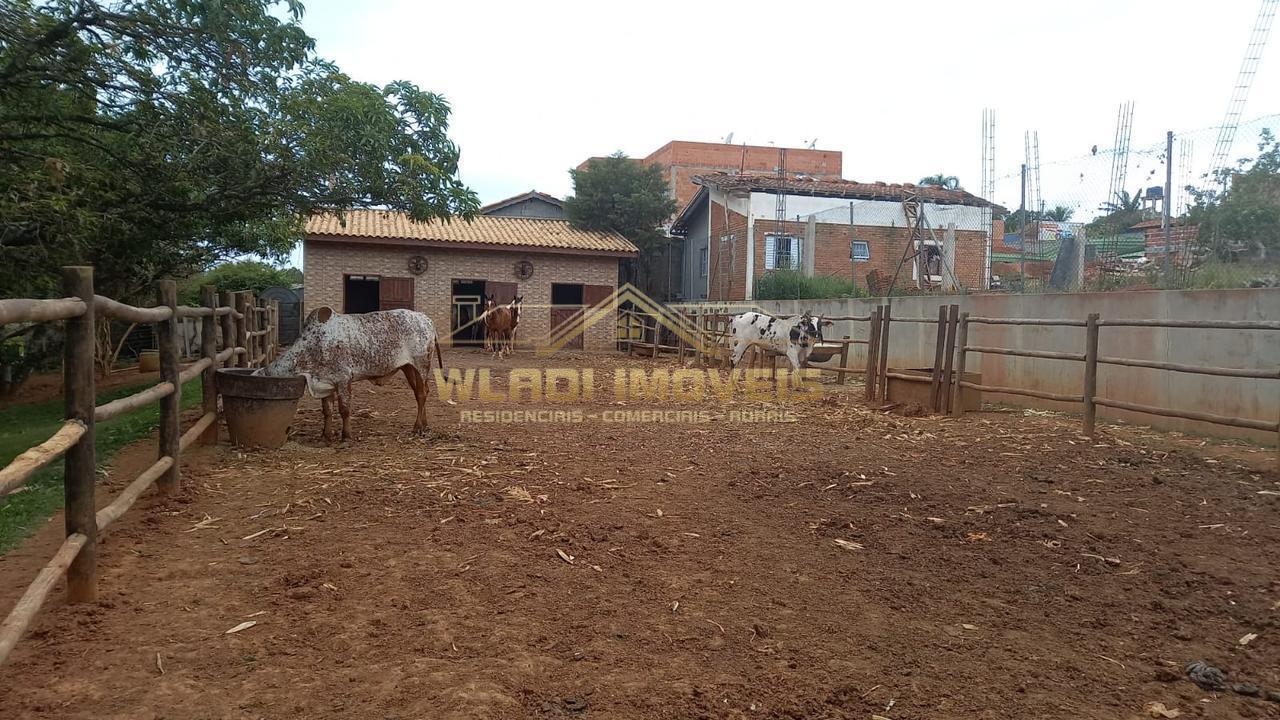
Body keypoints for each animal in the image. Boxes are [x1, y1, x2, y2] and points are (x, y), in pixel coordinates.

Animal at [257, 307, 442, 440]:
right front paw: (326, 435)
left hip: (421, 365)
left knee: (422, 394)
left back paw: (417, 427)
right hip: (408, 368)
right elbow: (327, 411)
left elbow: (344, 409)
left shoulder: (343, 379)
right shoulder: (326, 382)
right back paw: (424, 425)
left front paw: (346, 436)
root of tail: (426, 319)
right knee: (421, 393)